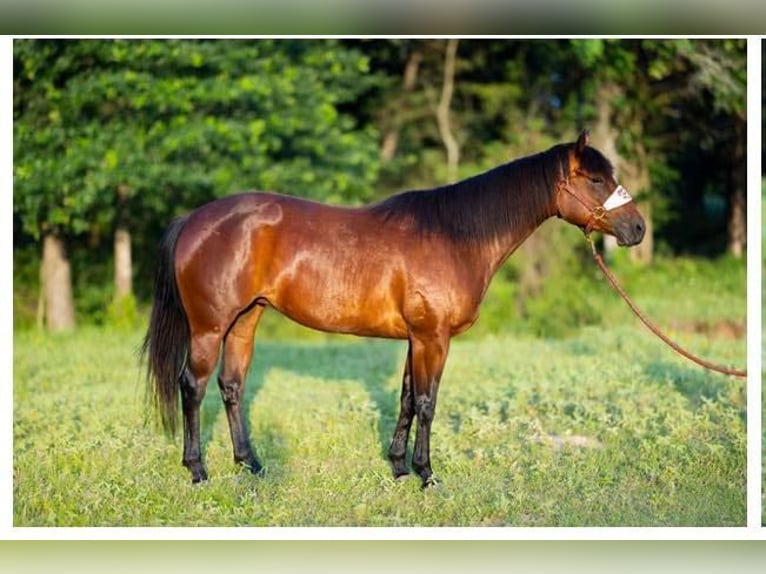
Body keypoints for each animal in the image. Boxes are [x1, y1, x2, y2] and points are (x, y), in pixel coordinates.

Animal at [141, 130, 645, 487]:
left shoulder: (415, 338)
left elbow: (405, 398)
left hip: (245, 321)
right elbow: (427, 402)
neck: (454, 236)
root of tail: (194, 219)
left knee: (231, 386)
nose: (638, 228)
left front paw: (399, 467)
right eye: (596, 179)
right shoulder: (433, 339)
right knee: (192, 387)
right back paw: (197, 470)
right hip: (209, 328)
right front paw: (426, 474)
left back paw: (251, 465)